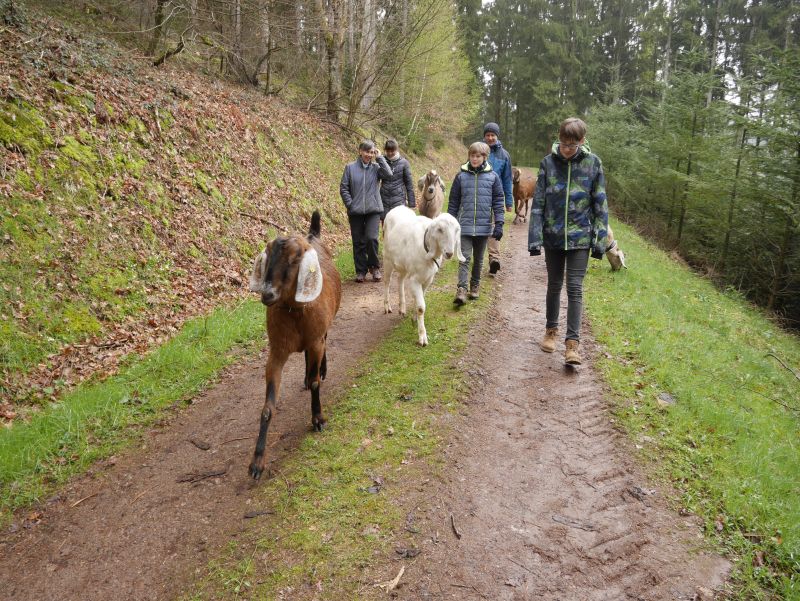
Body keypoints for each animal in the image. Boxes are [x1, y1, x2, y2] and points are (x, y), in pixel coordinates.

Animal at [247, 211, 340, 478]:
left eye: (294, 260)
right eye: (267, 258)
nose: (267, 294)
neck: (295, 311)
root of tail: (313, 235)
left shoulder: (316, 340)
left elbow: (317, 381)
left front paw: (318, 418)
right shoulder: (277, 352)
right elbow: (268, 407)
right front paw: (257, 462)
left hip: (322, 333)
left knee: (323, 346)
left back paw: (319, 371)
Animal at [384, 207, 466, 344]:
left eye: (456, 230)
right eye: (440, 229)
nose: (449, 253)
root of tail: (398, 207)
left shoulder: (428, 279)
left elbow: (420, 301)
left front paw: (414, 319)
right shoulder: (414, 280)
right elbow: (421, 307)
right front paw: (422, 337)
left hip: (403, 265)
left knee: (400, 279)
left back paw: (402, 308)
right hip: (387, 259)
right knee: (387, 282)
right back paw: (387, 307)